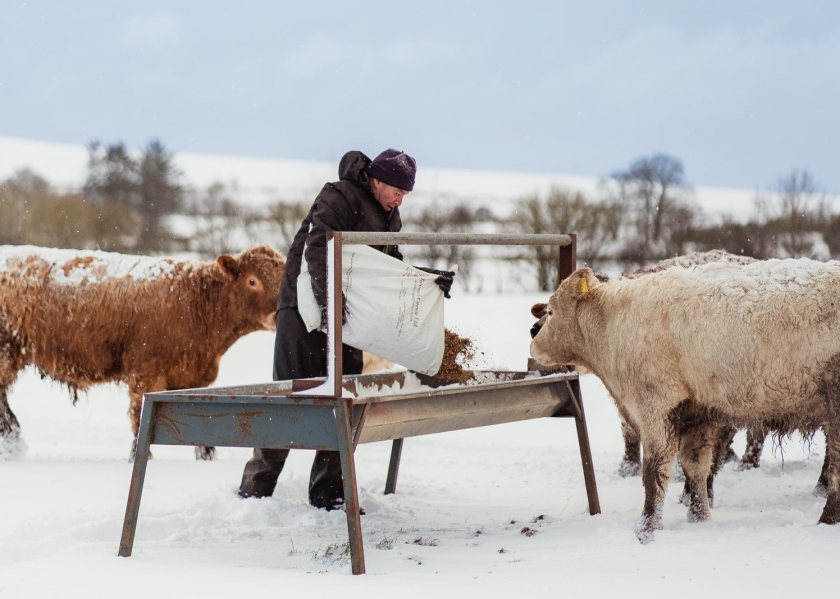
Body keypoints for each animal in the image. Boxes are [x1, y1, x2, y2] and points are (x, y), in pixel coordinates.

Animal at [0, 244, 286, 460]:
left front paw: (206, 456)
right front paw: (139, 456)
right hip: (7, 351)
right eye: (252, 281)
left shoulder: (195, 377)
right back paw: (13, 442)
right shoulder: (147, 372)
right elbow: (139, 418)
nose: (277, 316)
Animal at [532, 260, 840, 540]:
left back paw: (827, 518)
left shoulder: (656, 406)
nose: (532, 337)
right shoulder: (698, 412)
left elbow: (654, 472)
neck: (615, 325)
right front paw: (699, 517)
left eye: (551, 310)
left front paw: (647, 528)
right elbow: (696, 468)